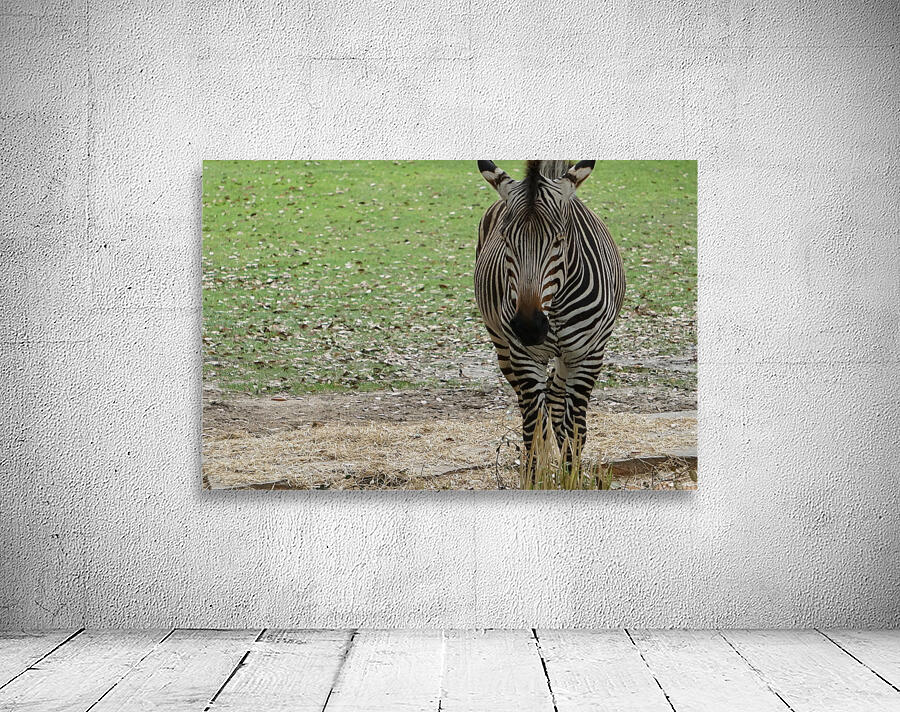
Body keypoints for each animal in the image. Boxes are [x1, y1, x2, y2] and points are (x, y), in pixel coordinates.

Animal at [474, 160, 626, 476]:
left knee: (556, 397)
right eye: (505, 240)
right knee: (532, 407)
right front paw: (535, 476)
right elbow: (532, 429)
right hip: (503, 347)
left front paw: (571, 476)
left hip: (569, 355)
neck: (551, 308)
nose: (529, 328)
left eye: (559, 240)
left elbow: (576, 430)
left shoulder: (588, 355)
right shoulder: (524, 356)